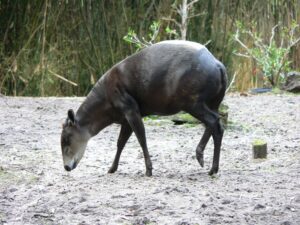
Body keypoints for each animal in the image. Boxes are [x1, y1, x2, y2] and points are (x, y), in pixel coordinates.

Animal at [60, 40, 227, 178]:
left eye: (66, 139)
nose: (66, 167)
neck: (107, 102)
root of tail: (218, 65)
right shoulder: (125, 118)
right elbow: (120, 142)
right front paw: (112, 168)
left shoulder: (130, 108)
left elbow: (141, 137)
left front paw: (148, 170)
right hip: (212, 101)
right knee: (216, 121)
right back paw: (207, 162)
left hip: (192, 101)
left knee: (214, 122)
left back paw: (208, 164)